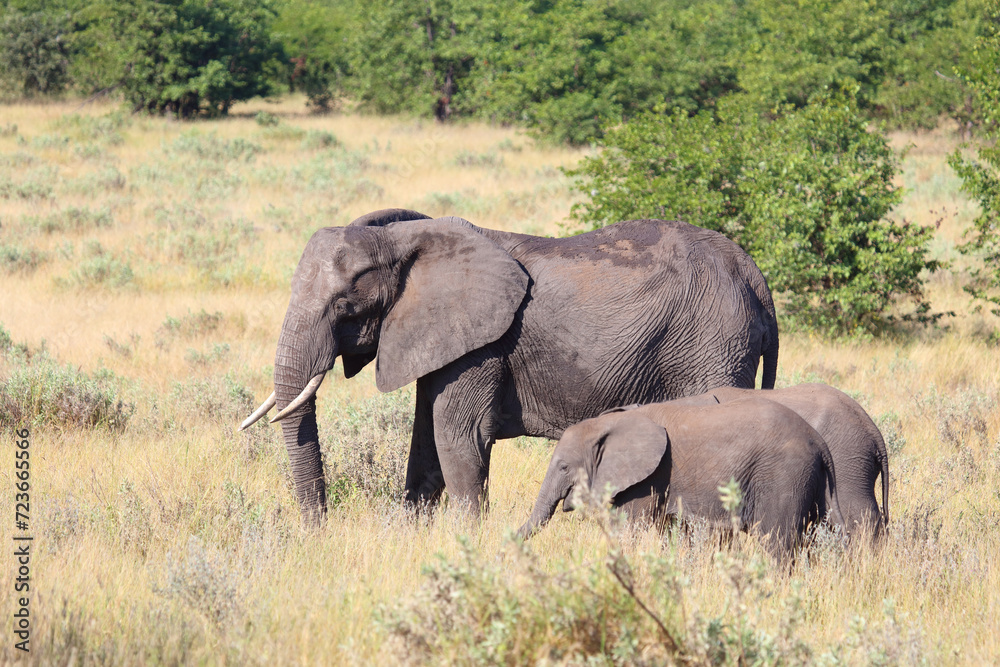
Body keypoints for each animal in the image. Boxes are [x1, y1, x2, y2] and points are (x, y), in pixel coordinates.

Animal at [238, 206, 776, 524]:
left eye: (344, 305)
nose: (319, 531)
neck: (403, 241)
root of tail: (754, 275)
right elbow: (425, 440)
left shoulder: (481, 345)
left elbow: (457, 437)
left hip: (711, 343)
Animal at [516, 396, 844, 560]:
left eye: (563, 467)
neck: (608, 422)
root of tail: (820, 443)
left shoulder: (650, 477)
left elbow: (629, 529)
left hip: (783, 476)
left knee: (777, 543)